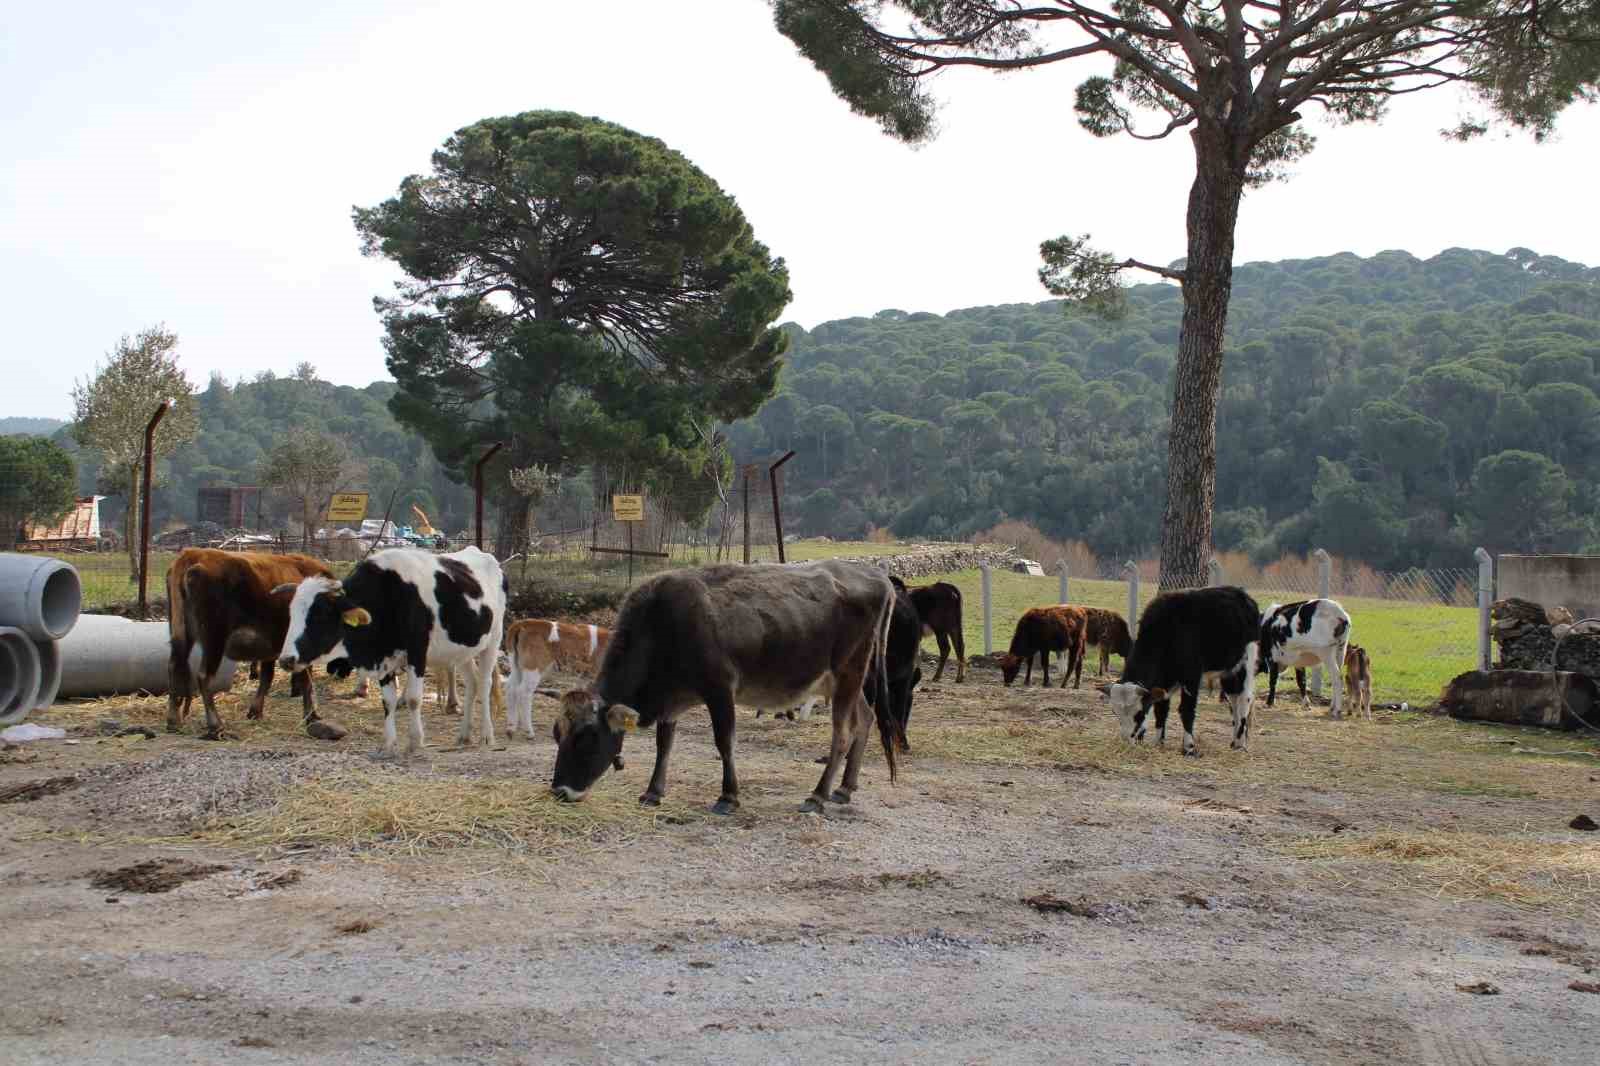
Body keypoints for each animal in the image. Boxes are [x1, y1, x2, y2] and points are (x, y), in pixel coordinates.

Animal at [165, 547, 337, 739]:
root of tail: (193, 554)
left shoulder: (271, 649)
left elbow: (267, 677)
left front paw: (255, 712)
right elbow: (306, 681)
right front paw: (311, 716)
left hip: (180, 636)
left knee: (175, 667)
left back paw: (173, 721)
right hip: (213, 641)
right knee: (204, 676)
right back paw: (216, 726)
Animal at [272, 547, 502, 755]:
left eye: (319, 615)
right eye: (291, 614)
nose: (286, 659)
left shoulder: (417, 653)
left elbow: (413, 699)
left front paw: (415, 742)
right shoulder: (384, 658)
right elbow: (388, 702)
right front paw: (389, 744)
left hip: (493, 640)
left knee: (484, 684)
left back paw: (486, 735)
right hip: (462, 650)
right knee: (472, 683)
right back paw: (464, 735)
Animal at [550, 557, 902, 813]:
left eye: (586, 737)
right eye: (557, 735)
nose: (559, 792)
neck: (662, 624)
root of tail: (875, 574)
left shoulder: (719, 689)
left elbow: (724, 742)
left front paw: (728, 796)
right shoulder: (671, 698)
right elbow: (665, 744)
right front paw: (653, 792)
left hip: (849, 672)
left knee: (842, 734)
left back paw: (818, 795)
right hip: (843, 682)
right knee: (865, 719)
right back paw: (845, 788)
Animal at [1100, 582, 1260, 755]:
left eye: (1139, 713)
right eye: (1116, 712)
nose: (1126, 740)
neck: (1167, 630)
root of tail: (1240, 594)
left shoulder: (1191, 677)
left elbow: (1186, 711)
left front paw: (1188, 747)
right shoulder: (1163, 681)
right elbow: (1161, 710)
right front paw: (1158, 742)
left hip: (1245, 663)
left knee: (1244, 699)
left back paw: (1240, 743)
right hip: (1227, 672)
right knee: (1233, 700)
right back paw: (1235, 741)